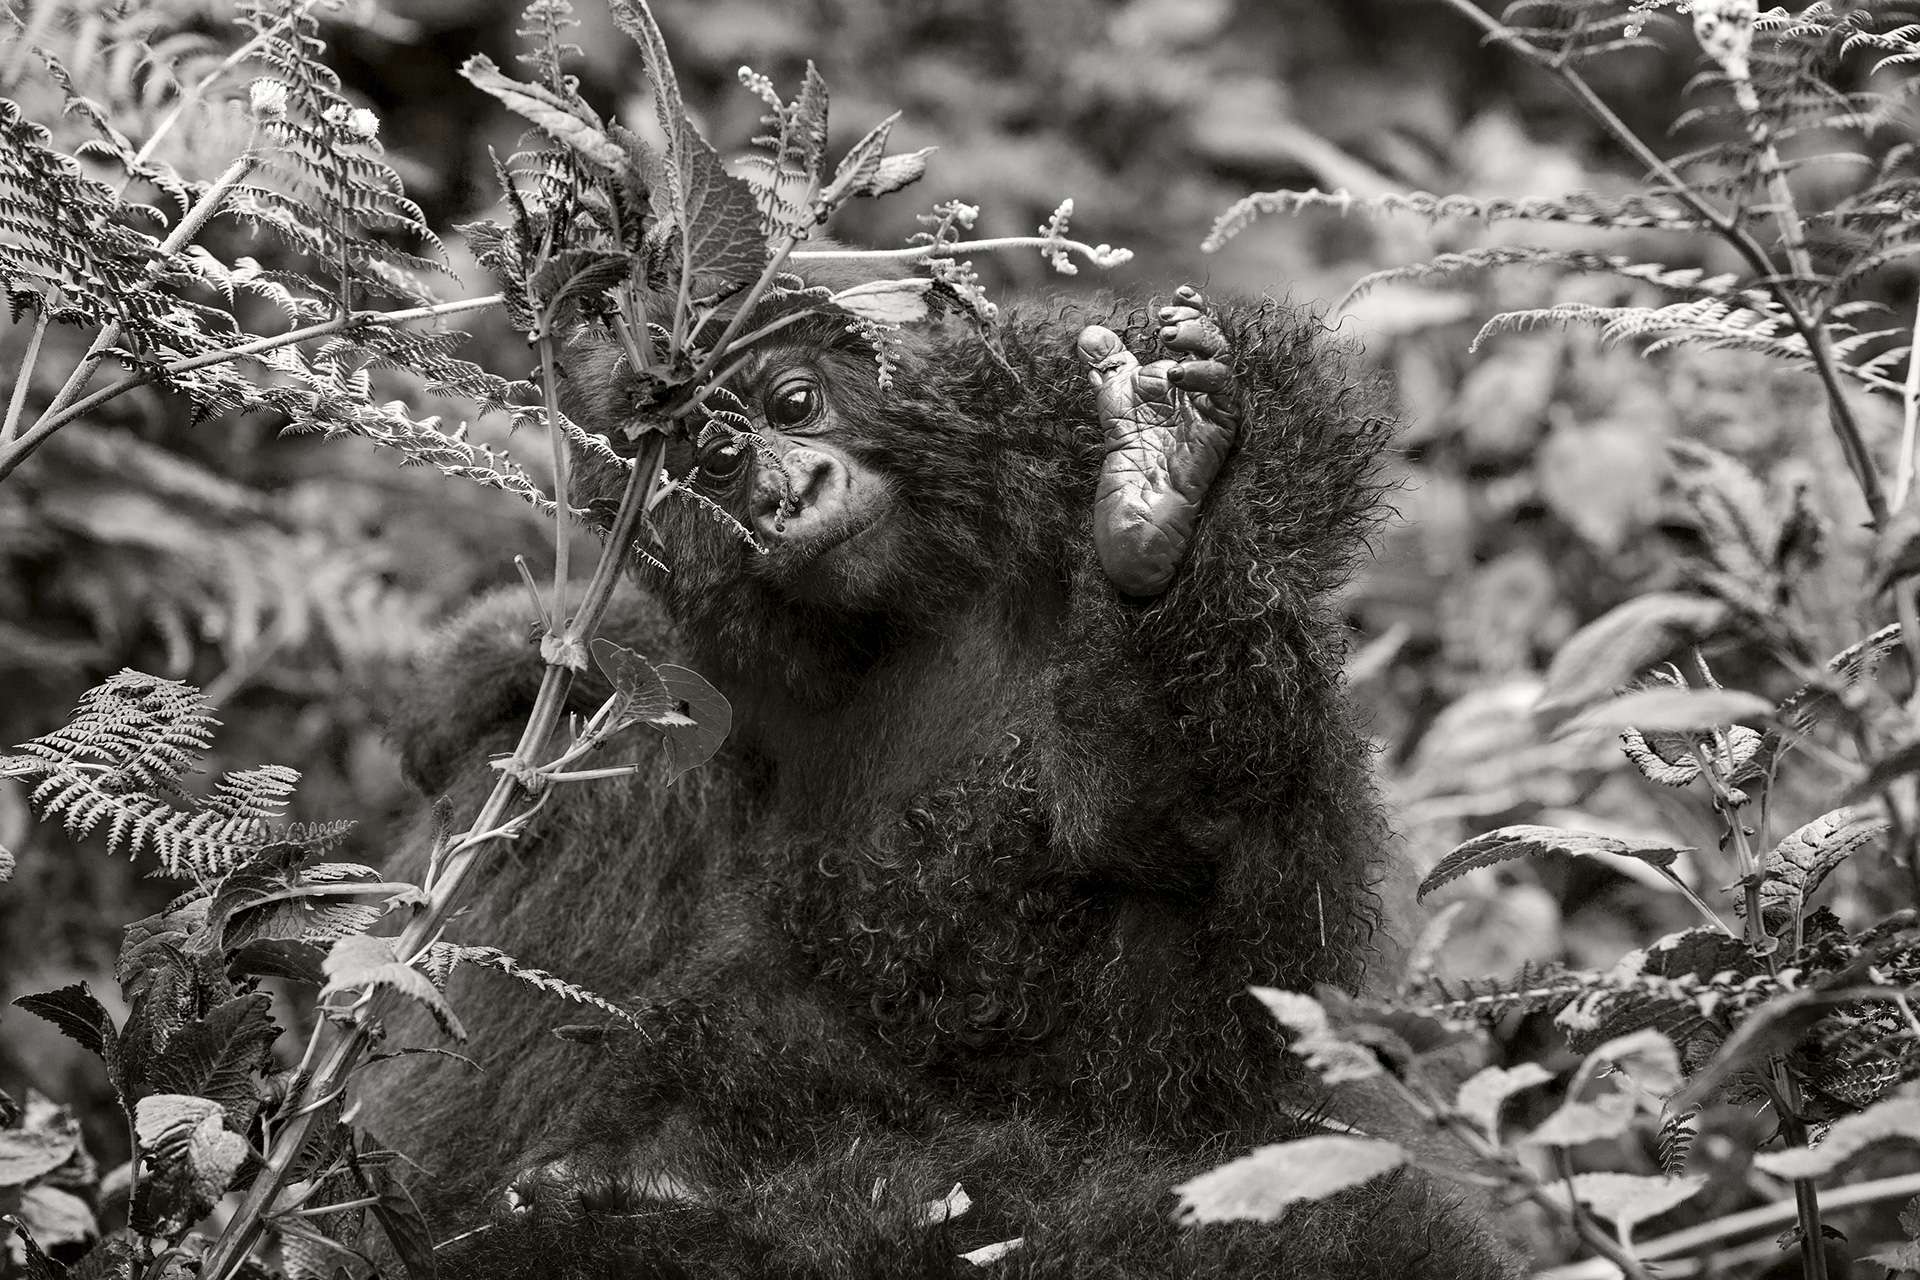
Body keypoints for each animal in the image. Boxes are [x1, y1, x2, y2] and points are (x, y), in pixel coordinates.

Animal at [366, 287, 1520, 1280]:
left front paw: (1166, 520)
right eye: (718, 465)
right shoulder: (707, 648)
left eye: (795, 403)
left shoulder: (1034, 442)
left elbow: (1188, 882)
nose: (790, 491)